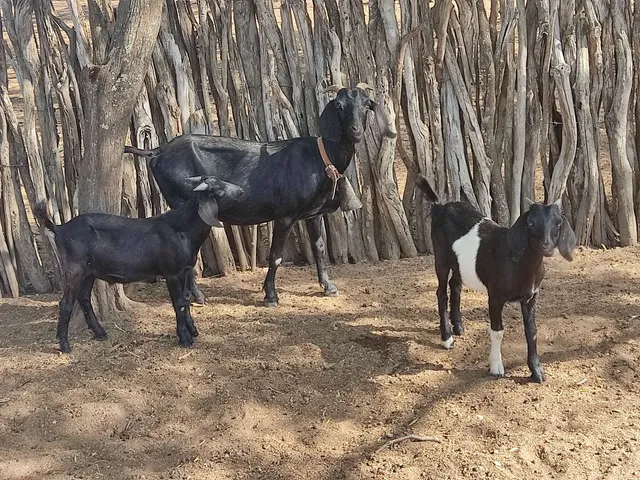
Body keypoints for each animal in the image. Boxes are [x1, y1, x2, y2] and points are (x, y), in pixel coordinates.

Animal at [33, 176, 244, 353]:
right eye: (219, 191)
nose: (242, 191)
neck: (183, 229)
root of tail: (60, 229)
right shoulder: (172, 272)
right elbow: (178, 303)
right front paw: (184, 338)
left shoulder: (185, 270)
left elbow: (185, 300)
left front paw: (192, 330)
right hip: (74, 268)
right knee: (66, 303)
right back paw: (64, 345)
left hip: (89, 271)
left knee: (84, 298)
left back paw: (100, 333)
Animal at [125, 86, 396, 307]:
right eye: (338, 106)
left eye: (367, 105)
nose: (355, 131)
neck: (320, 158)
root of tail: (157, 151)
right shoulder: (285, 214)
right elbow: (275, 257)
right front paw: (271, 296)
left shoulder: (313, 214)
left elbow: (319, 248)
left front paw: (328, 287)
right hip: (180, 200)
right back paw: (198, 296)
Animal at [415, 174, 576, 383]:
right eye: (531, 223)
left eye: (558, 223)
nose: (546, 246)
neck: (519, 265)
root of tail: (440, 207)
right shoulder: (495, 296)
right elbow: (497, 331)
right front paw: (496, 367)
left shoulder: (531, 297)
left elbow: (531, 332)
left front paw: (537, 372)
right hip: (441, 257)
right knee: (441, 292)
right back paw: (447, 337)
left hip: (459, 264)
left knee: (455, 285)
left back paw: (458, 326)